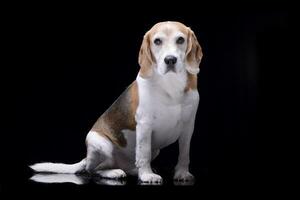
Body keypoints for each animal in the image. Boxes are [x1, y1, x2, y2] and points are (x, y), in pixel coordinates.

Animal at [30, 21, 203, 183]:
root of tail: (87, 157)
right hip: (100, 143)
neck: (171, 84)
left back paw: (132, 170)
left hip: (153, 150)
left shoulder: (188, 127)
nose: (170, 60)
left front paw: (182, 173)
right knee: (92, 170)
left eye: (180, 40)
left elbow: (184, 154)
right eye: (157, 41)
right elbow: (144, 153)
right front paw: (147, 175)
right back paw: (114, 173)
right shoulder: (145, 125)